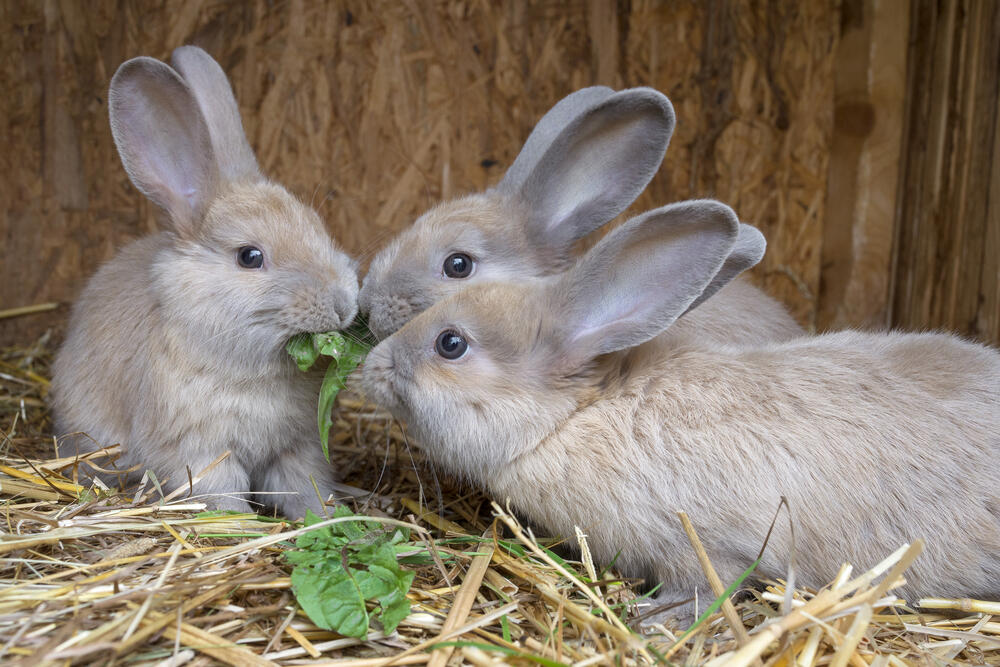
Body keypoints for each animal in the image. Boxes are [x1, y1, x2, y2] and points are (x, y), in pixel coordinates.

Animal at [49, 47, 360, 520]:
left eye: (318, 228)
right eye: (249, 257)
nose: (343, 303)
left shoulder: (297, 448)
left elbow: (306, 489)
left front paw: (329, 518)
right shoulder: (201, 452)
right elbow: (222, 496)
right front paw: (240, 525)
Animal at [360, 198, 1000, 620]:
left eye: (451, 343)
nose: (371, 364)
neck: (572, 419)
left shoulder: (702, 544)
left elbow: (706, 583)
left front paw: (653, 617)